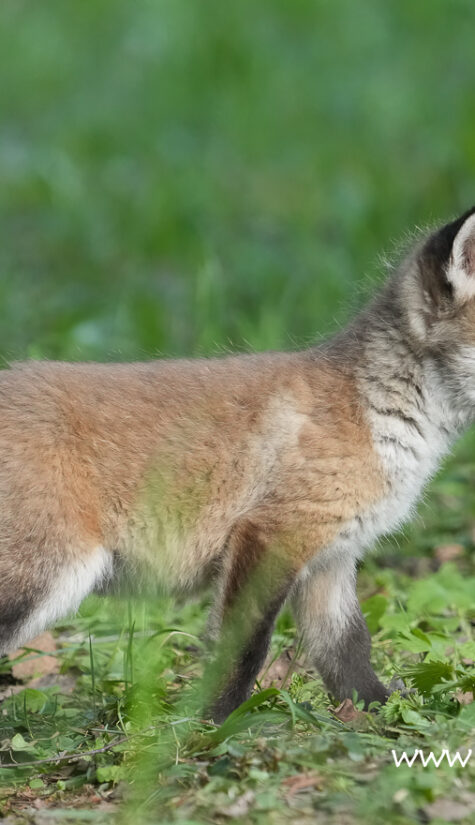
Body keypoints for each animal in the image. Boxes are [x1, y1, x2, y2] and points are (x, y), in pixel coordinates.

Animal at [1, 207, 475, 722]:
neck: (377, 413)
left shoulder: (331, 558)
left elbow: (348, 651)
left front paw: (380, 714)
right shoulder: (271, 534)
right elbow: (242, 649)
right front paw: (207, 724)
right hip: (46, 575)